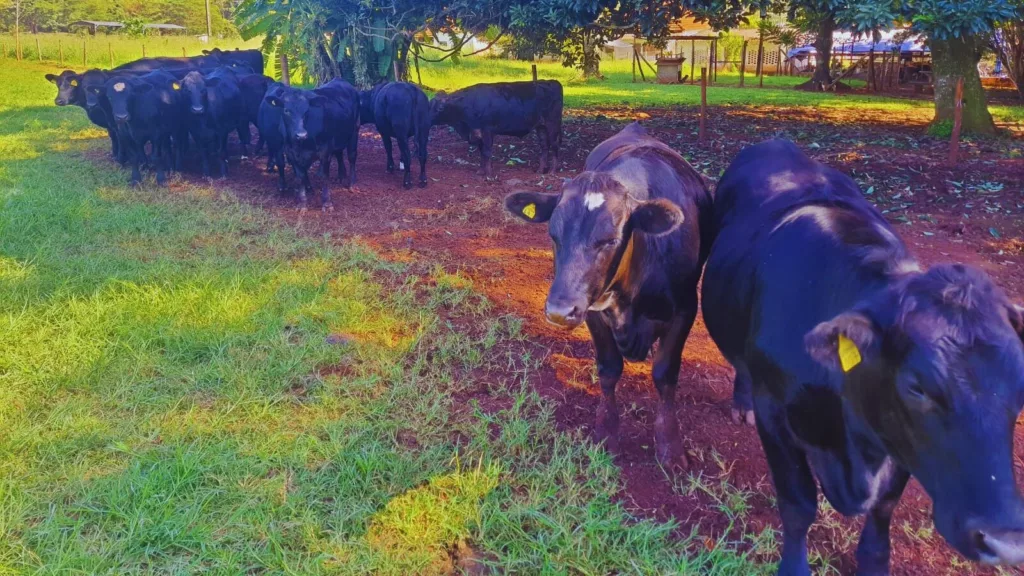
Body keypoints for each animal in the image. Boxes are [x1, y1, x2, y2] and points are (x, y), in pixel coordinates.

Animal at [430, 78, 565, 177]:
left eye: (440, 108)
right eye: (430, 104)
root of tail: (552, 81)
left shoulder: (487, 130)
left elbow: (487, 152)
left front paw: (489, 175)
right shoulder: (478, 133)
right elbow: (482, 152)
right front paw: (481, 171)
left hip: (552, 124)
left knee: (555, 146)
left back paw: (552, 171)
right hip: (541, 127)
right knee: (544, 146)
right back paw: (540, 170)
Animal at [503, 123, 712, 469]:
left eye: (611, 239)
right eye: (553, 235)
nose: (558, 311)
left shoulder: (685, 309)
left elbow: (665, 374)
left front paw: (670, 446)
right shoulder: (591, 310)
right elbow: (609, 368)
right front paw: (607, 432)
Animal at [704, 138, 1024, 569]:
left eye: (1021, 386)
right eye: (916, 387)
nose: (1005, 542)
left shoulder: (897, 436)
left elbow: (883, 510)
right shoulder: (774, 413)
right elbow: (798, 504)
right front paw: (794, 567)